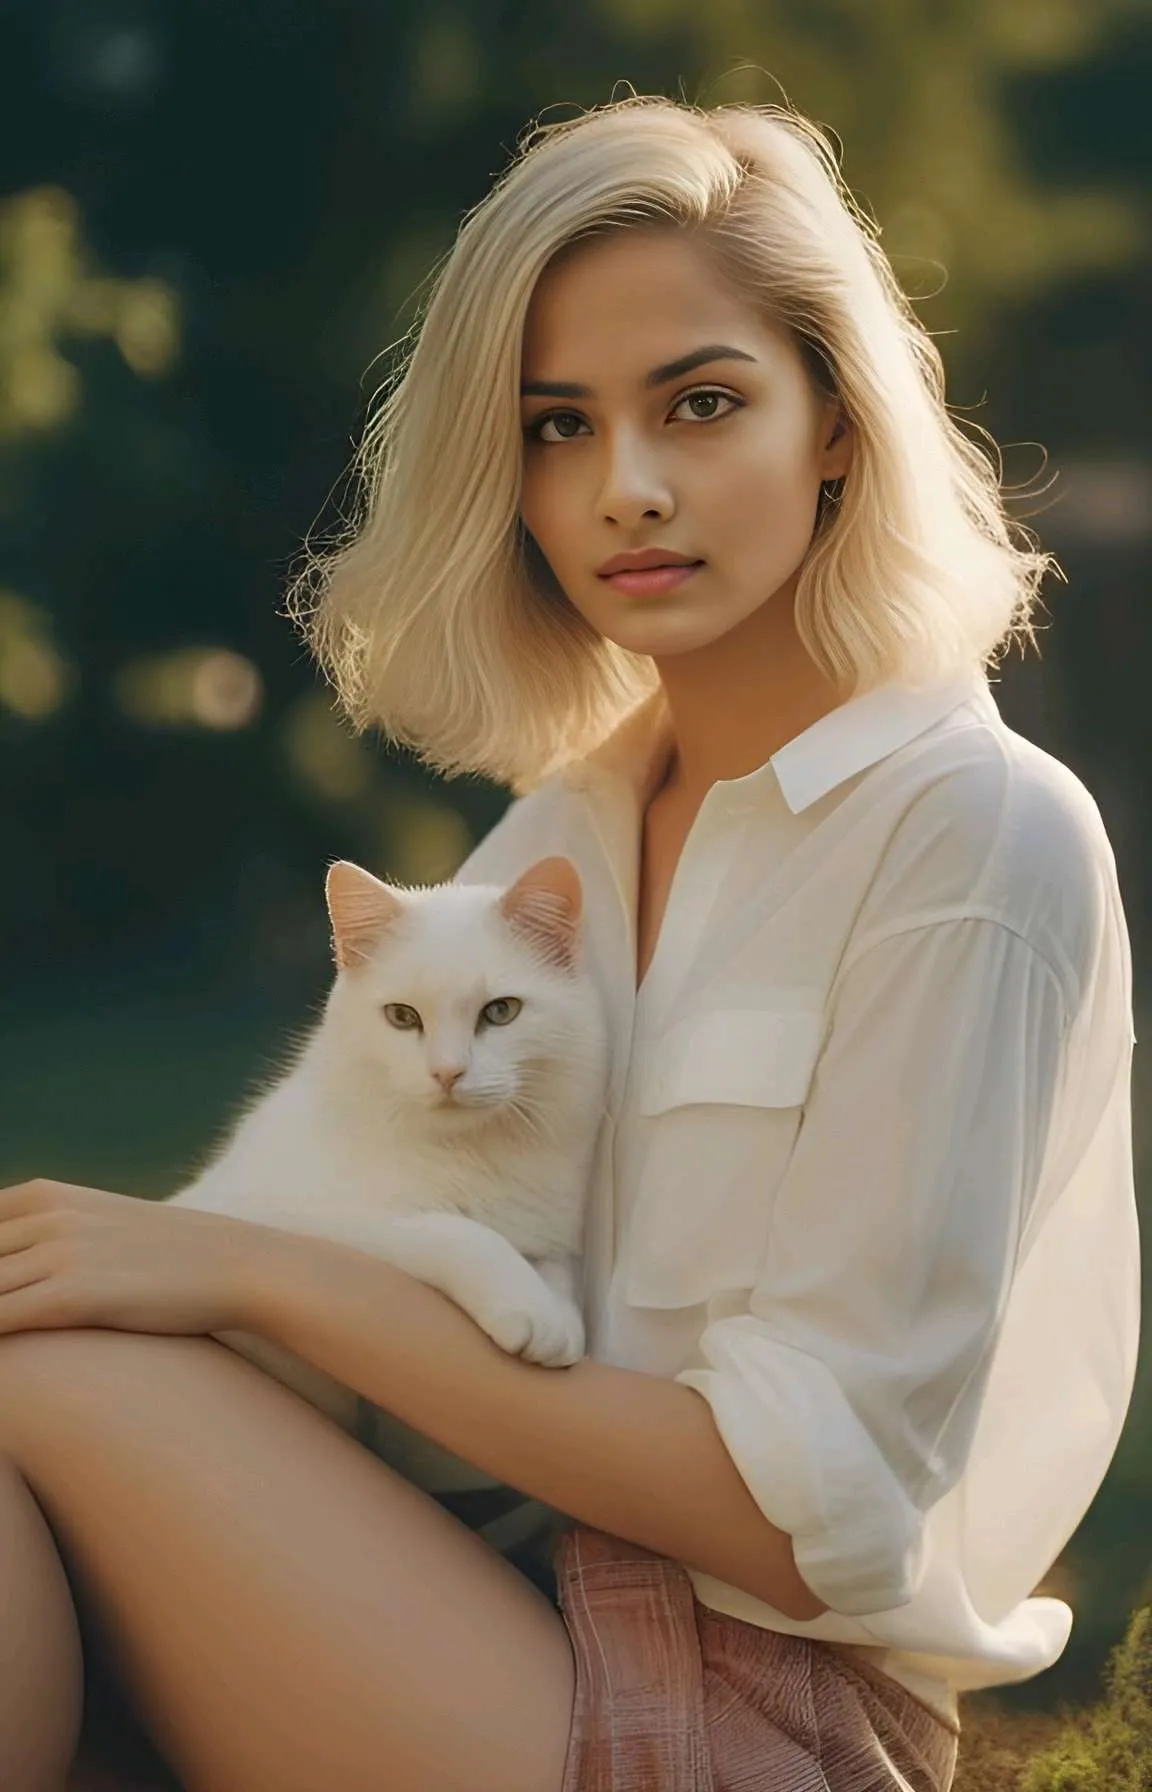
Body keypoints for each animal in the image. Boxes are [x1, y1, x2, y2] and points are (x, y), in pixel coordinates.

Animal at [169, 852, 612, 1455]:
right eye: (402, 1017)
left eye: (501, 1012)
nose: (447, 1073)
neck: (471, 1153)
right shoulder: (314, 1222)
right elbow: (460, 1233)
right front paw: (528, 1308)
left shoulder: (549, 1234)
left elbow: (555, 1266)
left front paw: (558, 1318)